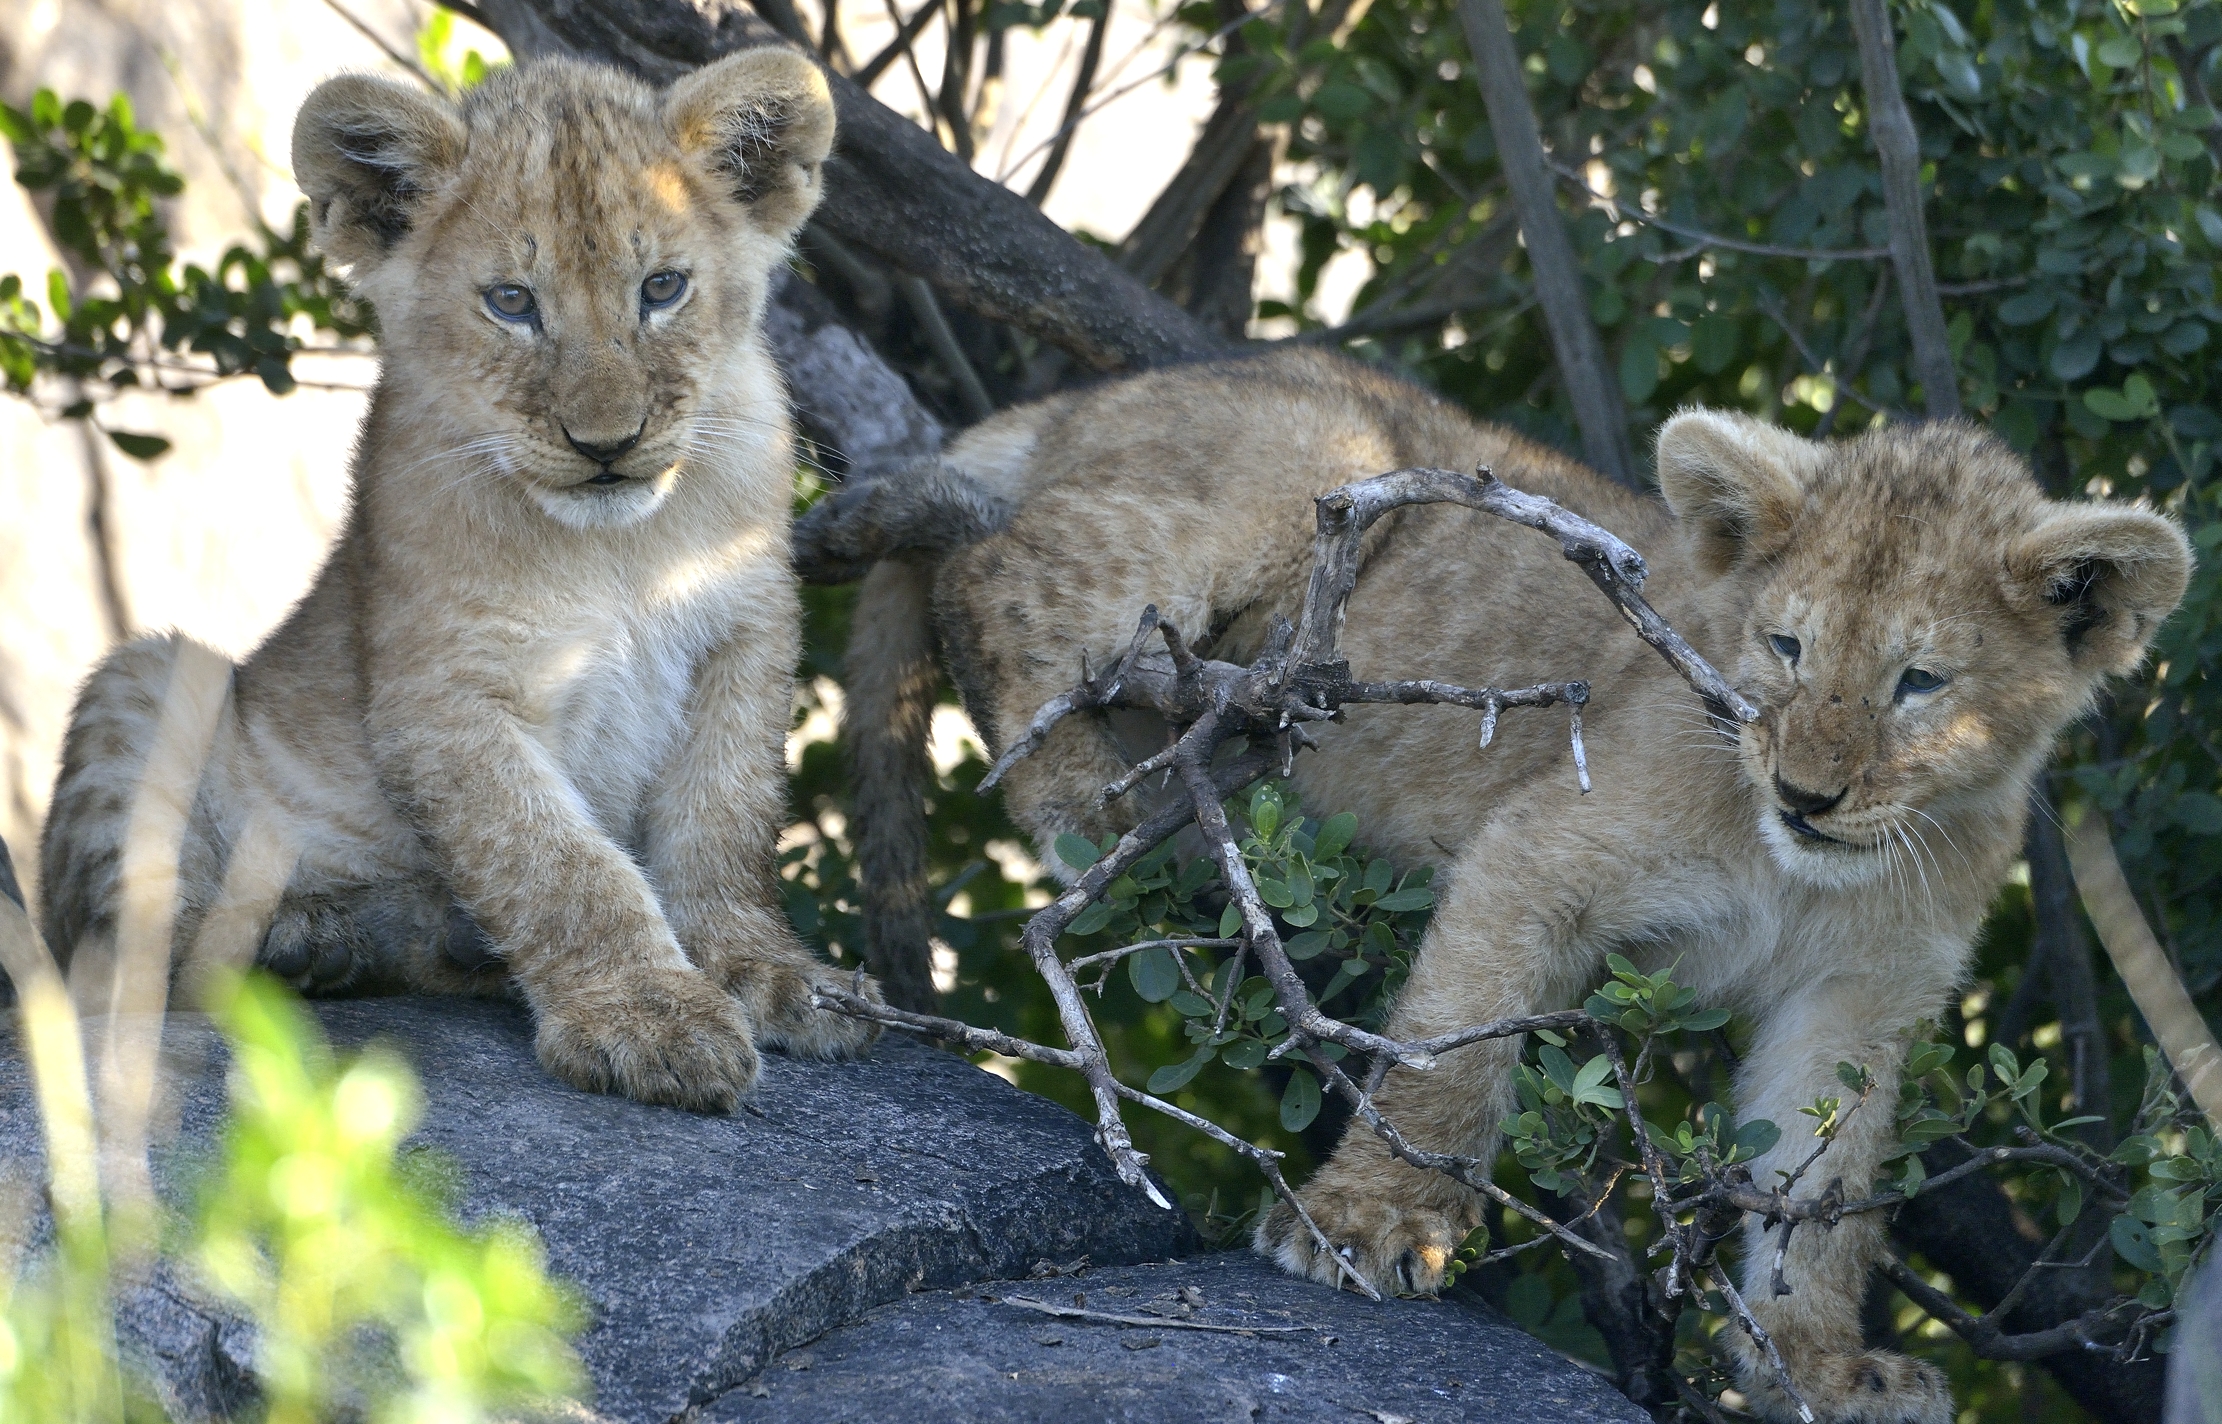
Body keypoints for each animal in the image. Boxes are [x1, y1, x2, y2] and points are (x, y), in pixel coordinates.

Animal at [35, 51, 876, 1112]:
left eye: (662, 287)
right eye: (511, 302)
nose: (607, 445)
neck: (623, 552)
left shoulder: (747, 637)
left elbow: (724, 825)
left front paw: (771, 973)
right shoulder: (442, 693)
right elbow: (556, 862)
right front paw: (648, 1017)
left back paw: (392, 939)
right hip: (144, 681)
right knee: (124, 963)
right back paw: (300, 936)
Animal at [812, 347, 2190, 1421]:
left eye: (1919, 683)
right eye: (1785, 647)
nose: (1806, 791)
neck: (1806, 869)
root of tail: (1105, 390)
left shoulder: (1856, 1000)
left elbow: (1824, 1194)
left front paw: (1810, 1366)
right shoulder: (1540, 849)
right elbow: (1448, 1048)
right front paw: (1366, 1223)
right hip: (1307, 473)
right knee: (991, 571)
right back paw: (1099, 804)